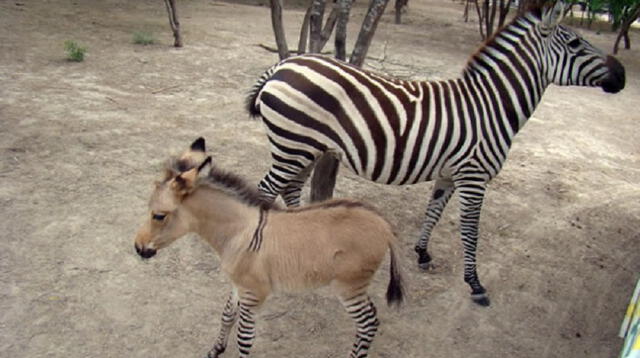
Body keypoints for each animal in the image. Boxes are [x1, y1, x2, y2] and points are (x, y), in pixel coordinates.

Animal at [134, 138, 404, 358]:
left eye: (158, 216)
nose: (138, 248)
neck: (238, 232)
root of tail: (384, 224)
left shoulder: (254, 293)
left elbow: (244, 338)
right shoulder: (239, 285)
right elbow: (226, 315)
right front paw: (216, 349)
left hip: (348, 286)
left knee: (367, 323)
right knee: (372, 320)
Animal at [245, 1, 624, 306]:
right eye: (574, 43)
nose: (621, 75)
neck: (491, 106)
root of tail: (283, 65)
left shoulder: (450, 173)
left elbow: (435, 211)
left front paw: (423, 254)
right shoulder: (474, 175)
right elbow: (470, 230)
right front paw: (475, 285)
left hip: (303, 147)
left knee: (290, 189)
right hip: (293, 145)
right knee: (266, 191)